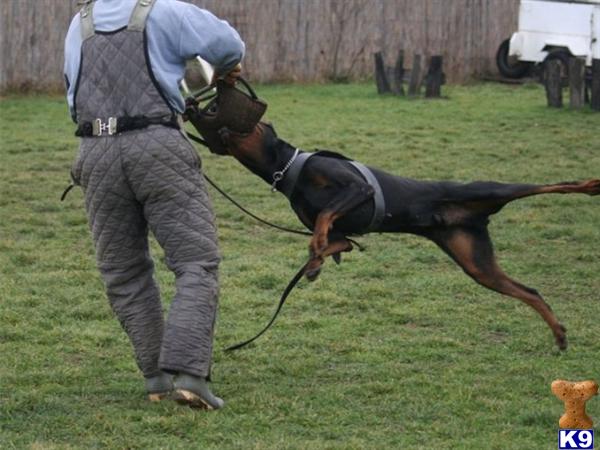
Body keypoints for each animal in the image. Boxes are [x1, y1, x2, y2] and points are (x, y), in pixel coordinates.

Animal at [217, 124, 600, 352]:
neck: (290, 169)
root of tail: (473, 215)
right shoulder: (338, 231)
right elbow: (331, 239)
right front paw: (315, 262)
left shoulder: (358, 189)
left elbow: (326, 221)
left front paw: (315, 257)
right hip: (476, 262)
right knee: (530, 291)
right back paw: (559, 334)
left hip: (490, 190)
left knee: (551, 185)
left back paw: (589, 186)